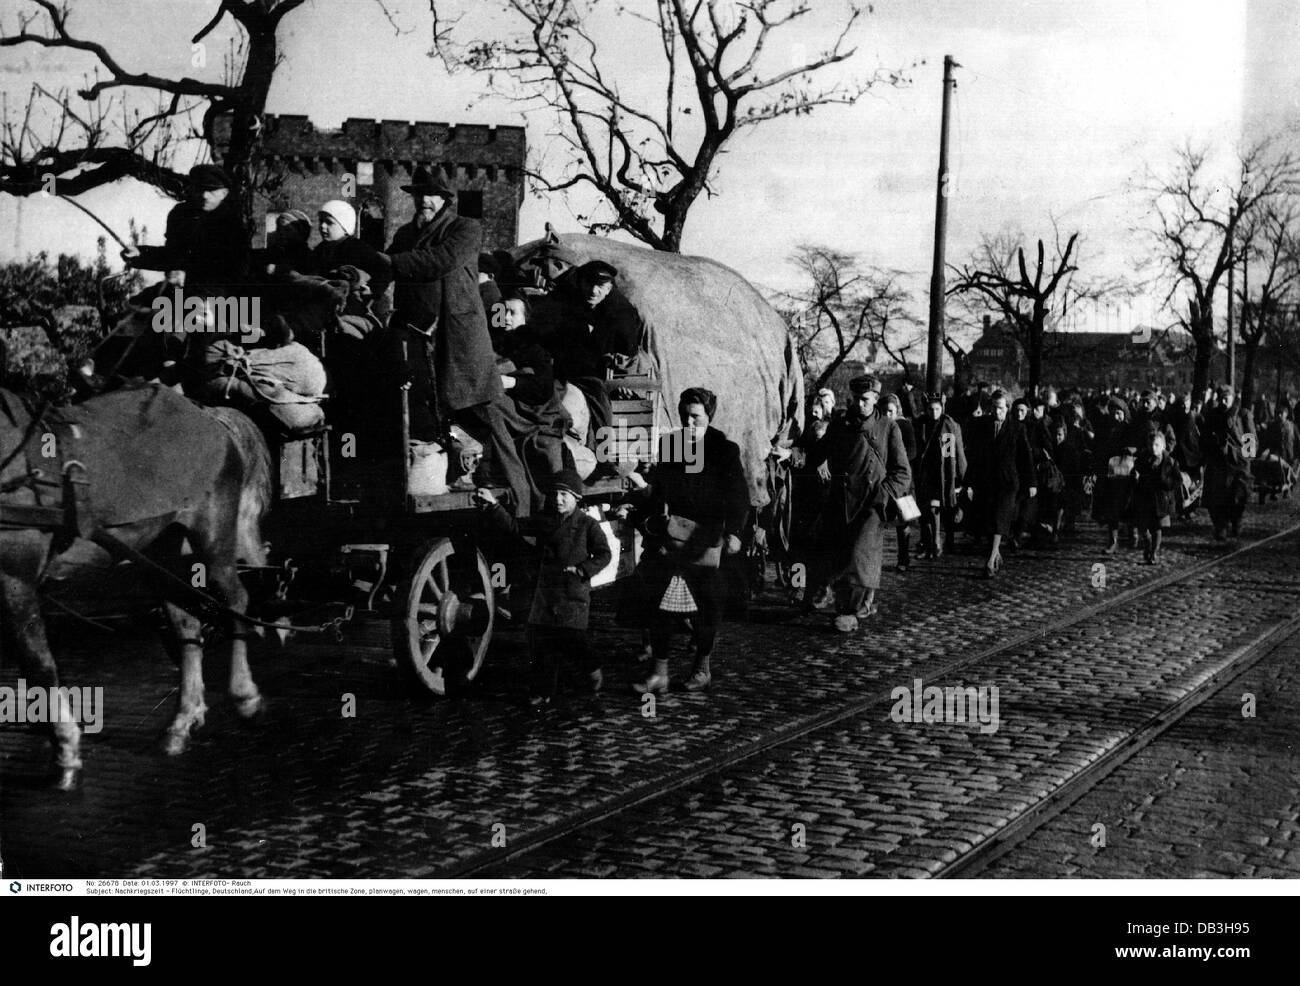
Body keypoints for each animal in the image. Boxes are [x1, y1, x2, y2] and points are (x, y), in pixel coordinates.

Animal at [1, 382, 271, 790]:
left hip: (213, 535)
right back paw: (181, 722)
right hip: (162, 548)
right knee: (185, 622)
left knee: (236, 601)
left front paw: (65, 752)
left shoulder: (16, 577)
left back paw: (244, 696)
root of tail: (206, 413)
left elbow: (39, 664)